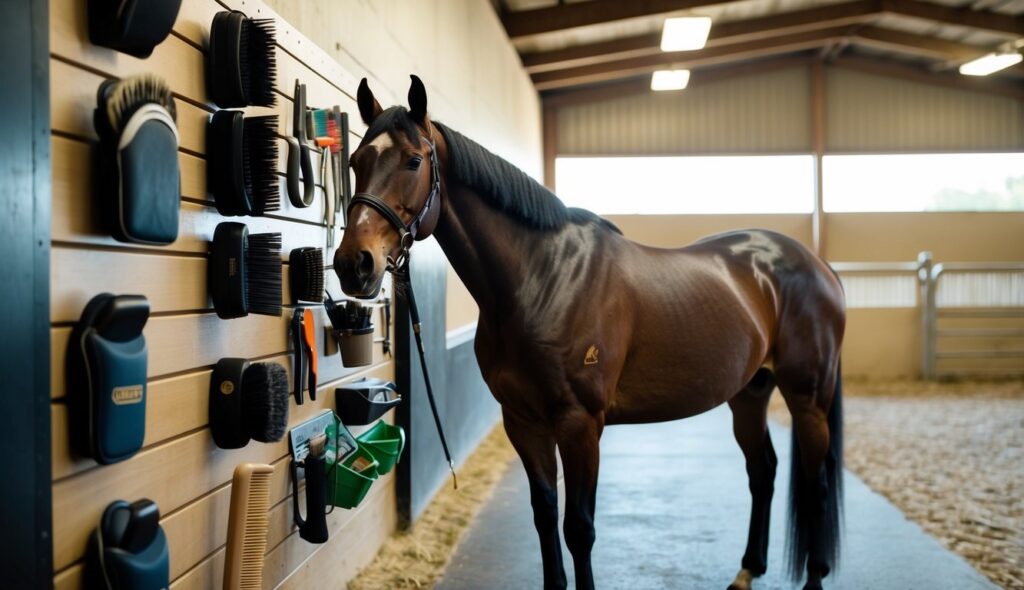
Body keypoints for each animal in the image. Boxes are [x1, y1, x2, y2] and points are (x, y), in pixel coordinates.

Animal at [335, 74, 847, 590]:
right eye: (356, 161)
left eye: (413, 160)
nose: (353, 264)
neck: (543, 278)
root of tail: (820, 266)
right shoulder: (523, 421)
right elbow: (545, 515)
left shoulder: (580, 424)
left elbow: (579, 528)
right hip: (750, 392)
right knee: (763, 472)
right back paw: (747, 569)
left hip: (807, 396)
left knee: (817, 482)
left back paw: (813, 577)